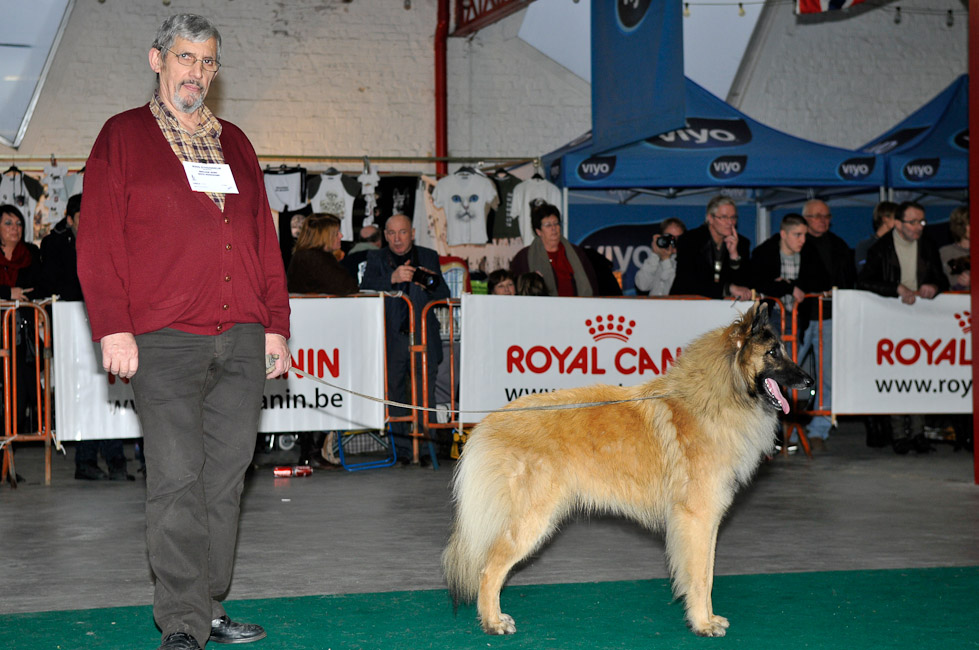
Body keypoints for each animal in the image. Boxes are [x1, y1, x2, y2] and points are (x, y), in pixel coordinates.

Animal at [442, 302, 812, 632]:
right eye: (774, 353)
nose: (809, 382)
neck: (715, 398)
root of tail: (488, 422)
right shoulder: (697, 517)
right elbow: (700, 576)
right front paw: (702, 624)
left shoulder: (706, 521)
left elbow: (705, 572)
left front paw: (706, 618)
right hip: (531, 520)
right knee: (488, 570)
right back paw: (493, 623)